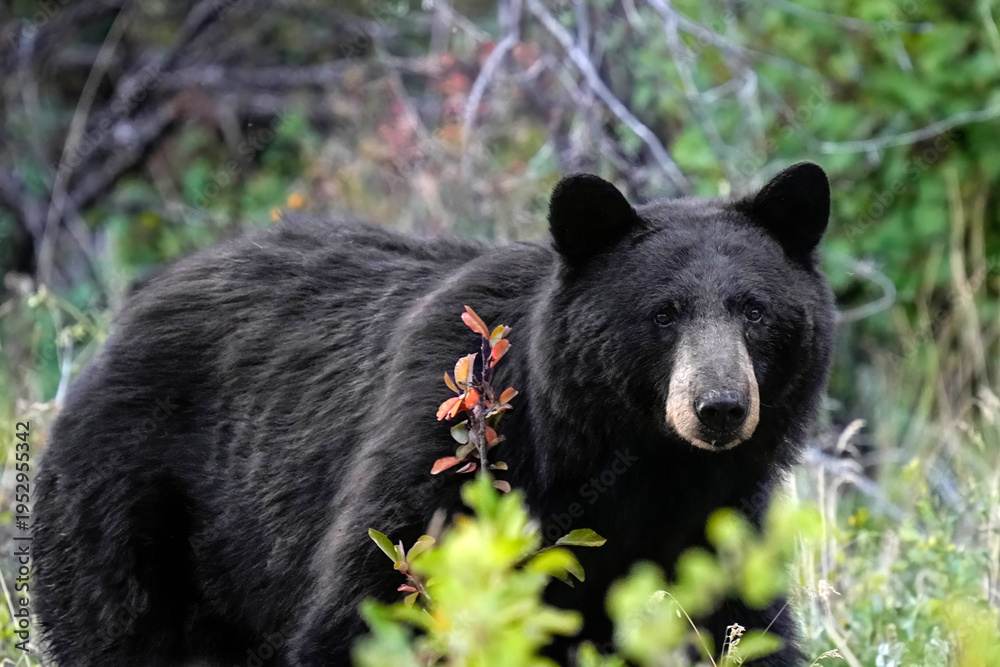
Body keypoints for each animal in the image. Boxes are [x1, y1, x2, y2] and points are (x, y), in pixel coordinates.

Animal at [33, 161, 835, 666]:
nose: (719, 408)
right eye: (663, 313)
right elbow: (368, 611)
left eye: (755, 311)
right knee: (116, 626)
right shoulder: (444, 470)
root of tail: (128, 310)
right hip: (131, 503)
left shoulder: (720, 515)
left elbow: (742, 623)